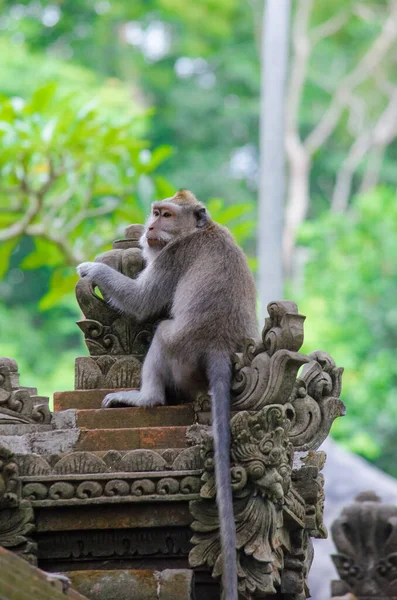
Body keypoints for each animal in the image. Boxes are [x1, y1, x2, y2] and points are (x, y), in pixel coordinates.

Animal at [76, 189, 258, 600]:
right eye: (155, 212)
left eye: (167, 215)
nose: (150, 228)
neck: (197, 230)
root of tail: (220, 347)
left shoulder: (173, 256)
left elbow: (142, 302)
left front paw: (92, 269)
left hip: (182, 348)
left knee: (161, 331)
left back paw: (145, 398)